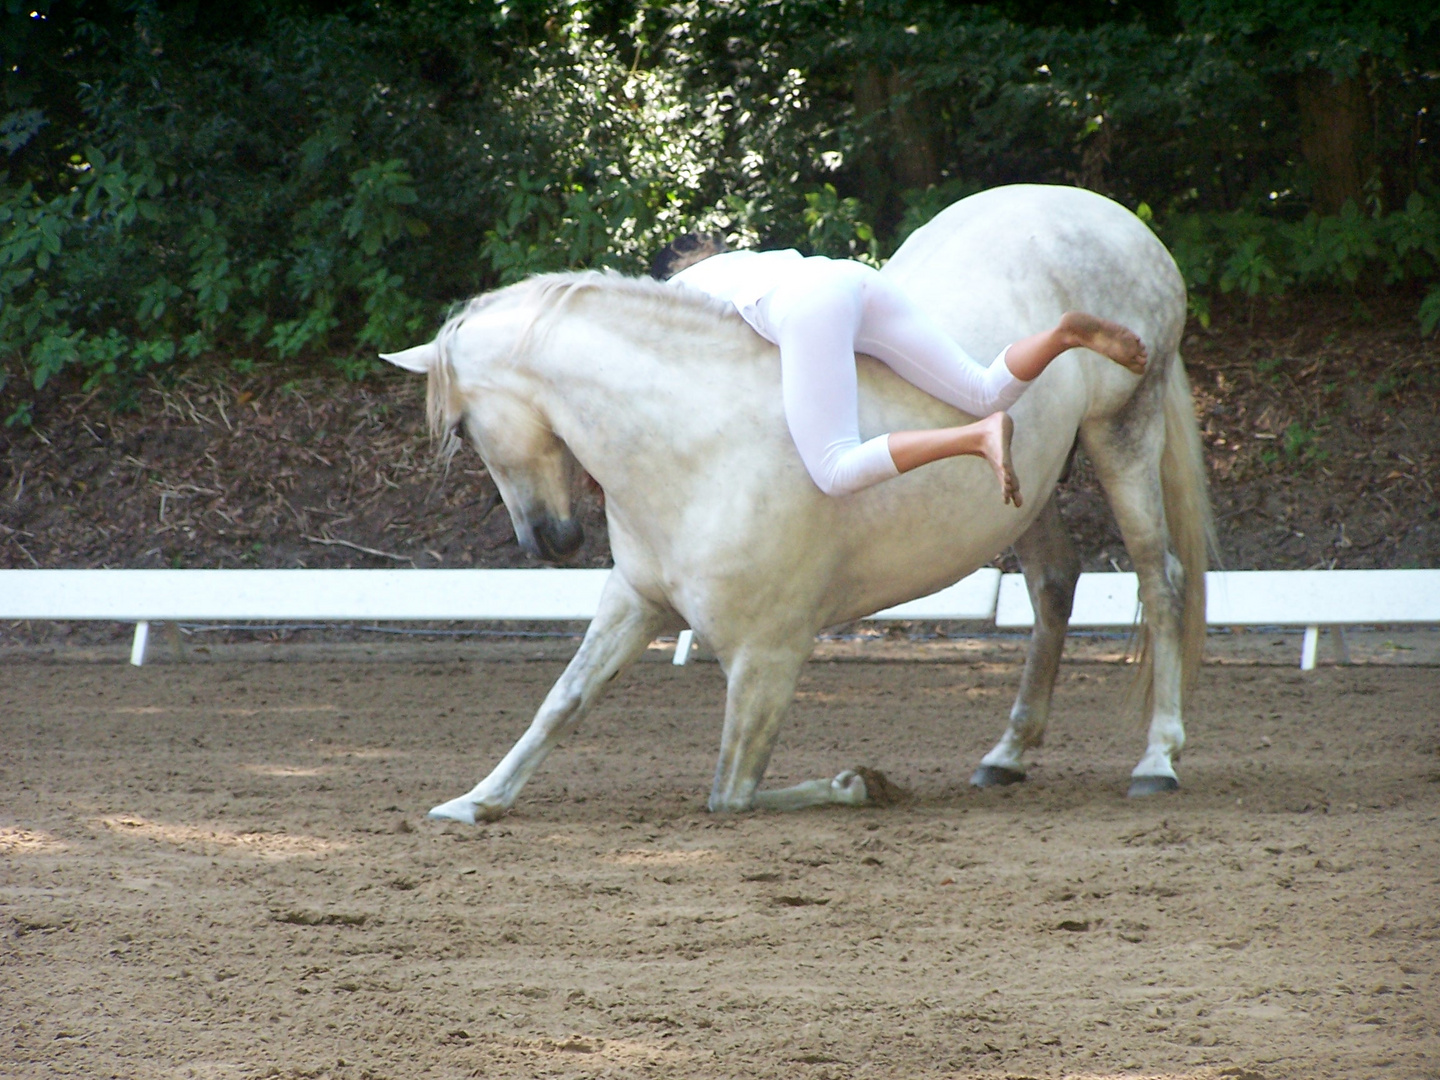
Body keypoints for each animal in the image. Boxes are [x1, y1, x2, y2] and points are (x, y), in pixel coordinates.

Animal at [383, 185, 1215, 823]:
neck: (691, 439)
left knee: (1159, 577)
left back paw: (1157, 760)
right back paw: (1006, 756)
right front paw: (474, 802)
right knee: (1051, 583)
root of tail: (1118, 217)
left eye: (461, 427)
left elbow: (731, 792)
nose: (545, 542)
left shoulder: (768, 656)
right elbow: (563, 701)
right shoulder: (635, 602)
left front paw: (858, 784)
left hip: (1123, 432)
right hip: (1029, 491)